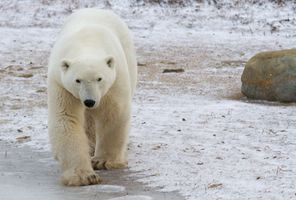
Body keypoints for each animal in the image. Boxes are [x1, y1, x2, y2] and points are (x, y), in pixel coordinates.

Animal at [47, 7, 138, 186]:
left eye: (99, 78)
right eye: (77, 80)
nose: (89, 101)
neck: (86, 43)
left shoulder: (115, 80)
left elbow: (113, 113)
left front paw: (103, 161)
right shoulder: (61, 84)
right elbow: (66, 118)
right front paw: (84, 176)